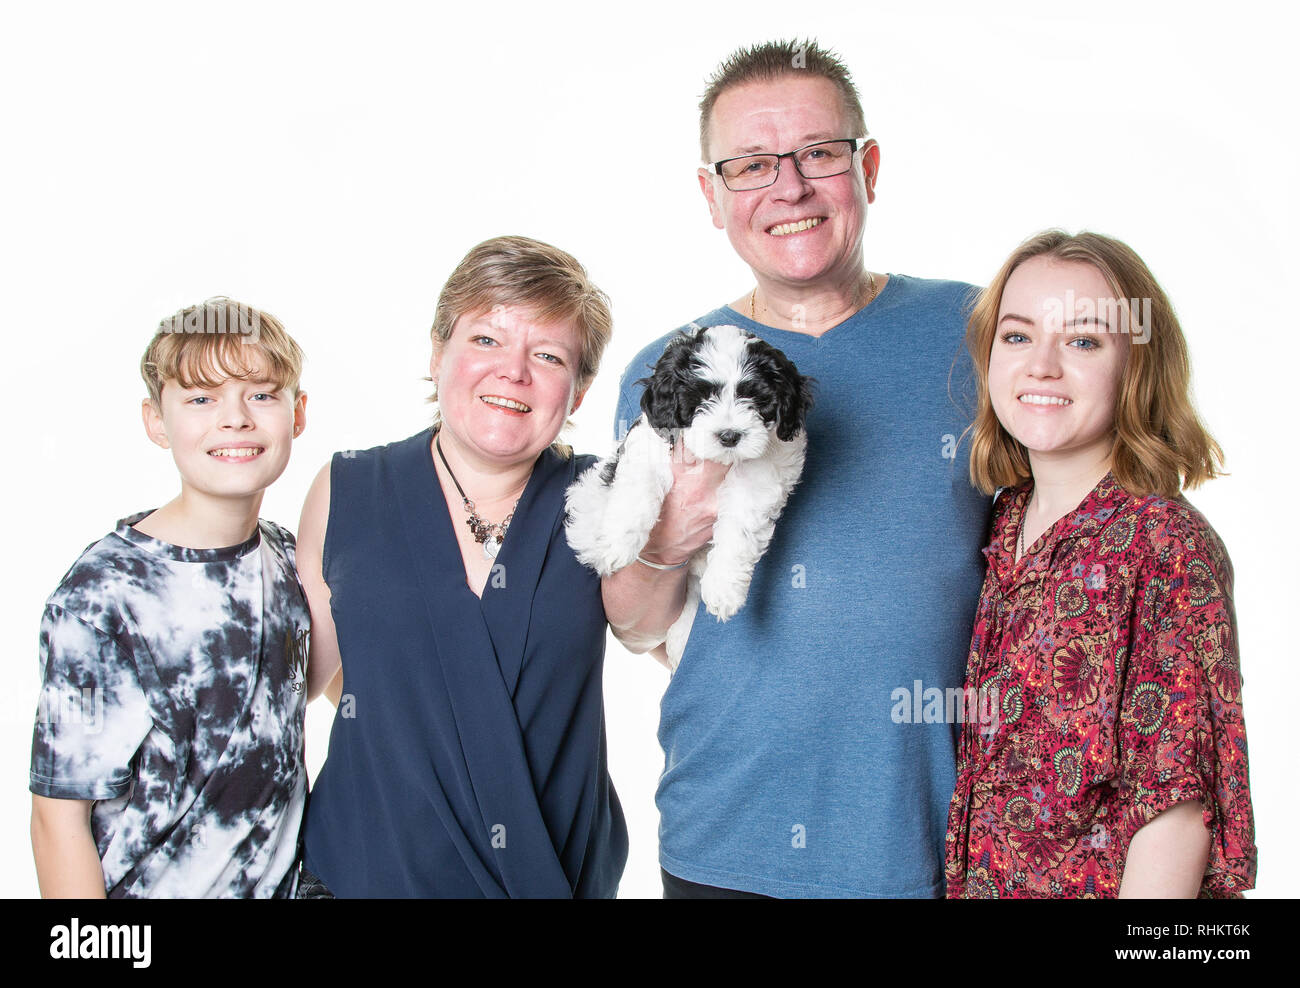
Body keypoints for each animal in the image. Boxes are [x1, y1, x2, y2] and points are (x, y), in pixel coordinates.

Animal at [561, 327, 806, 665]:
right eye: (701, 397)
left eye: (756, 398)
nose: (729, 436)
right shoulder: (649, 445)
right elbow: (638, 490)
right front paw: (617, 544)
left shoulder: (764, 474)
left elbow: (740, 528)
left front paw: (724, 587)